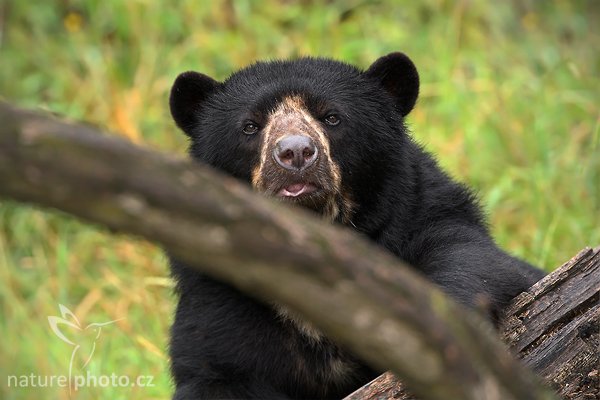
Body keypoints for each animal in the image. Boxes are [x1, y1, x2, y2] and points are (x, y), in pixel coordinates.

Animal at [166, 53, 548, 400]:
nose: (296, 153)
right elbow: (217, 368)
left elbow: (467, 262)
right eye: (250, 126)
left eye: (332, 117)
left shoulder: (422, 216)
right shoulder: (219, 297)